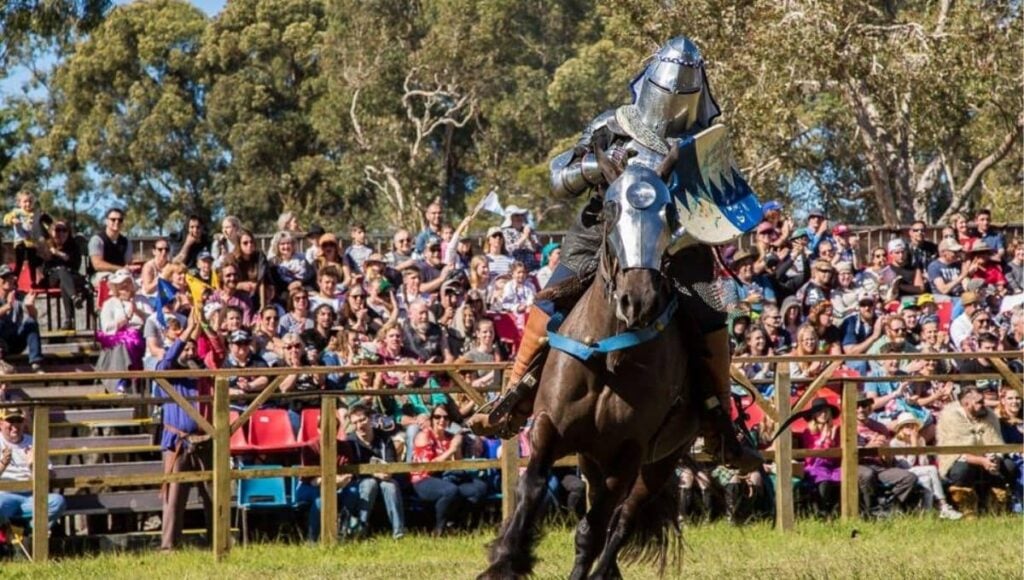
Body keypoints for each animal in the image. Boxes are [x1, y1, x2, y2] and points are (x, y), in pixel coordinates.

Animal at [479, 164, 704, 580]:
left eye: (668, 213)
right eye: (612, 211)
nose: (638, 301)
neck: (607, 356)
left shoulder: (629, 451)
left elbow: (594, 528)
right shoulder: (549, 427)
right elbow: (532, 488)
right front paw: (505, 560)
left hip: (659, 461)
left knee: (622, 519)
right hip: (592, 458)